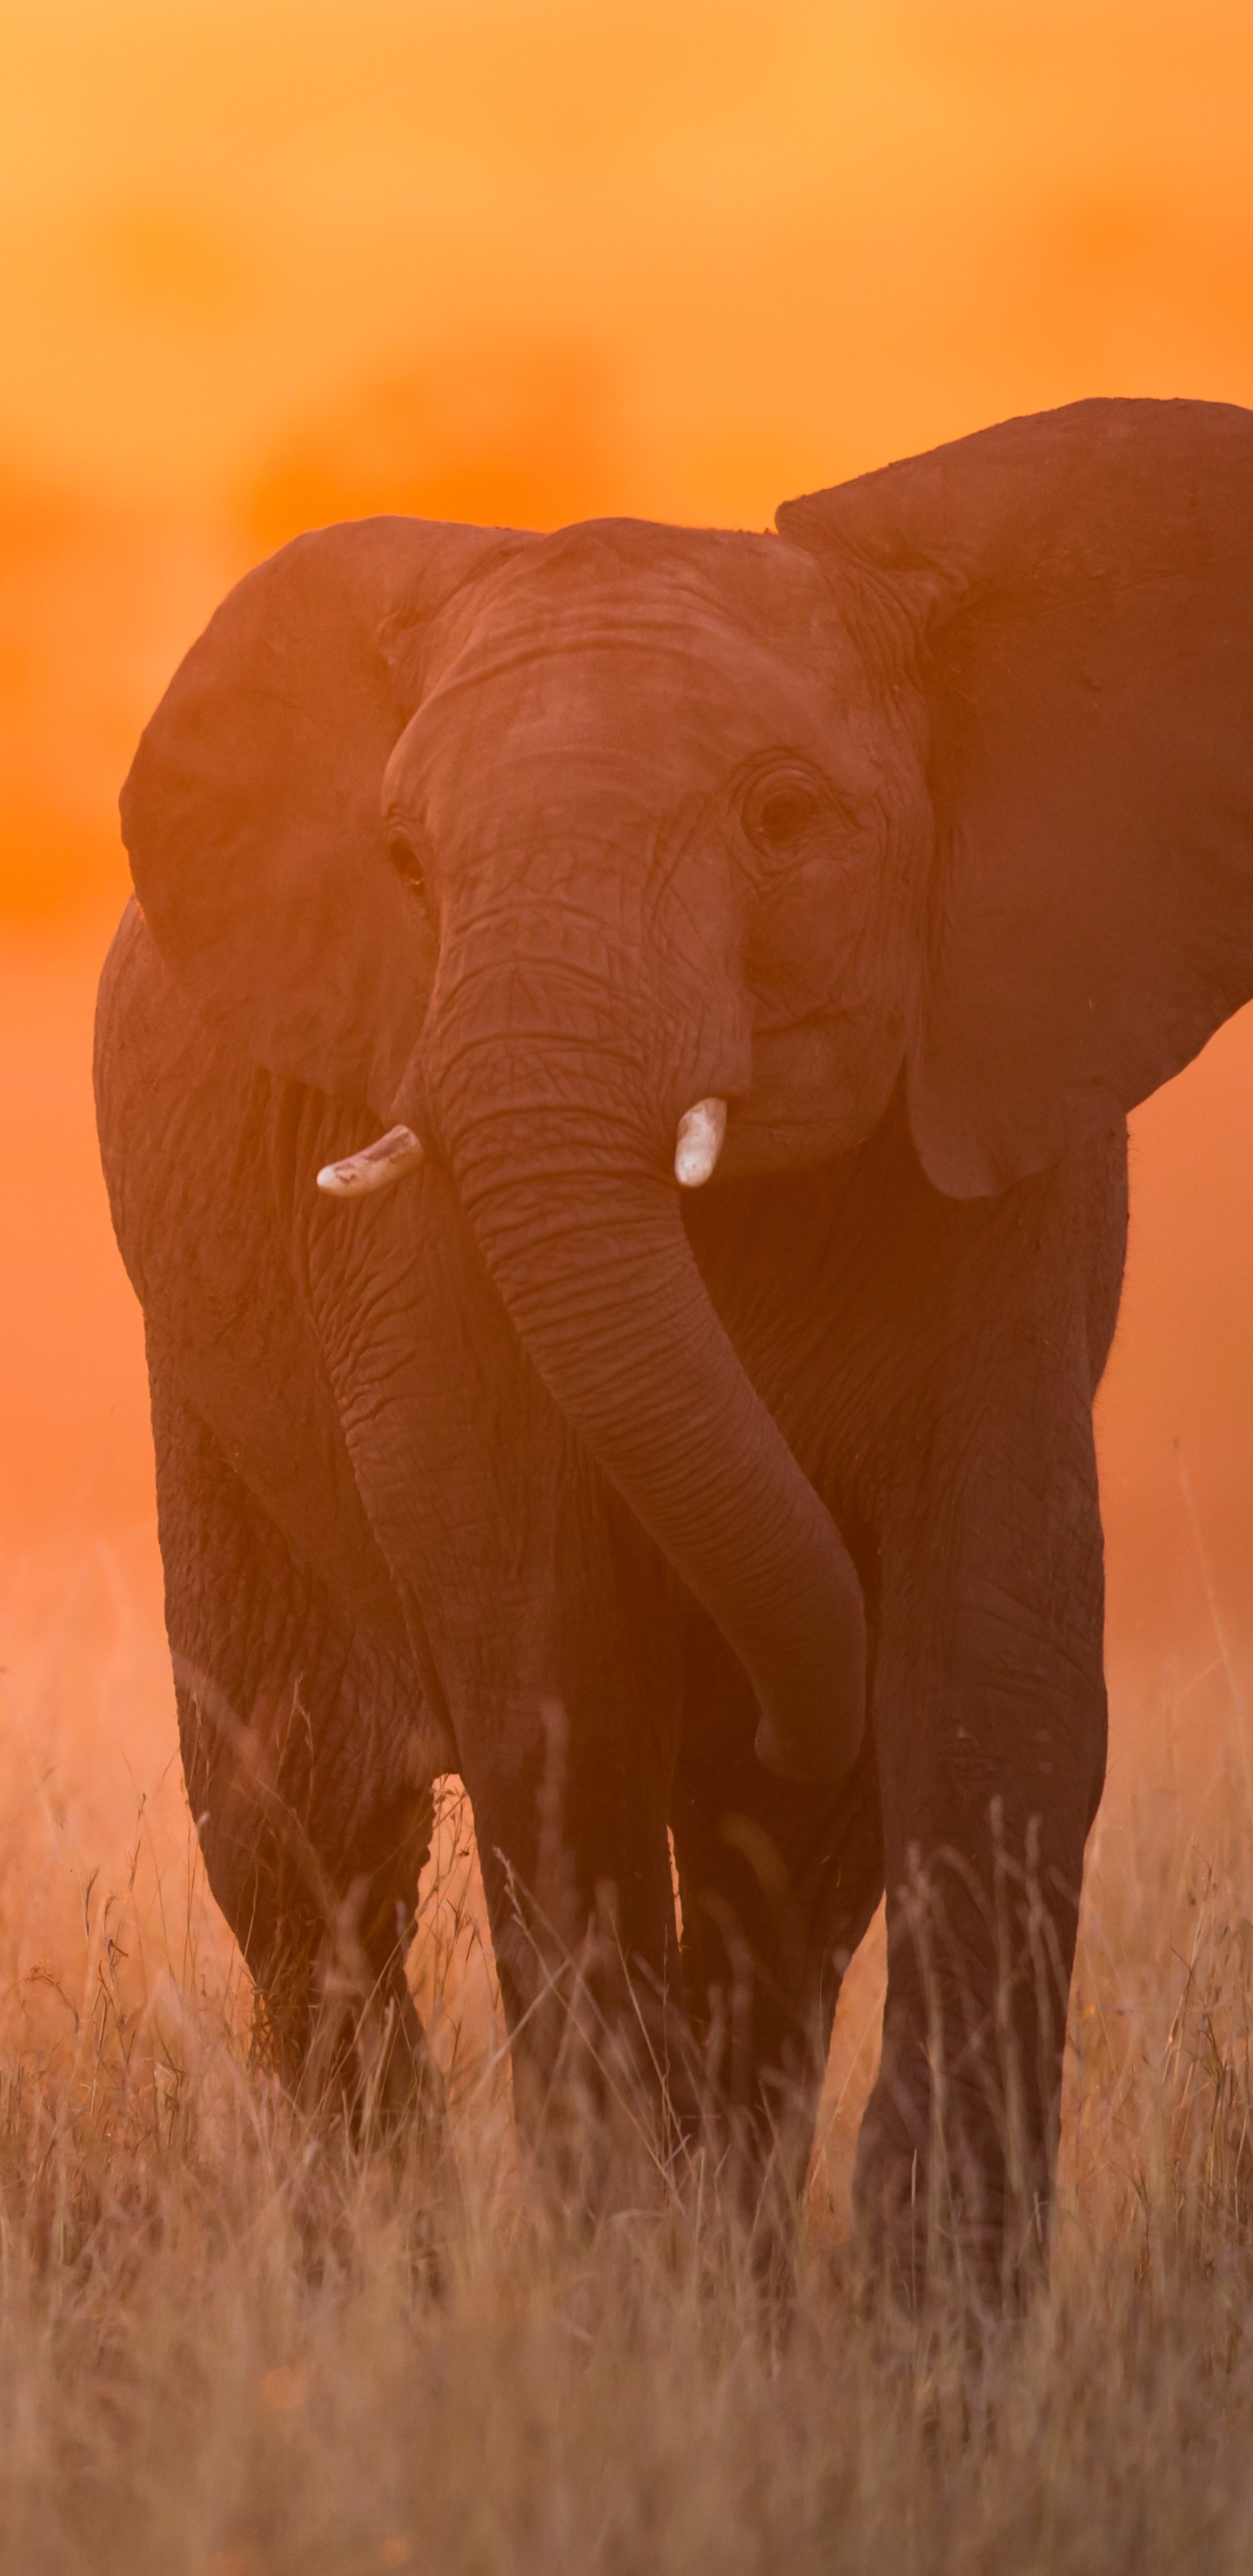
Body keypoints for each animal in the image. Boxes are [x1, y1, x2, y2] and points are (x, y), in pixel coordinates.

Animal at [95, 396, 1253, 2298]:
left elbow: (992, 1669)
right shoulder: (417, 1174)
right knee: (303, 1834)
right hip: (199, 1383)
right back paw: (391, 2284)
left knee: (780, 1871)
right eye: (405, 867)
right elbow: (552, 1672)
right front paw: (623, 2299)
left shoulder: (1015, 1155)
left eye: (785, 816)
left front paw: (925, 2340)